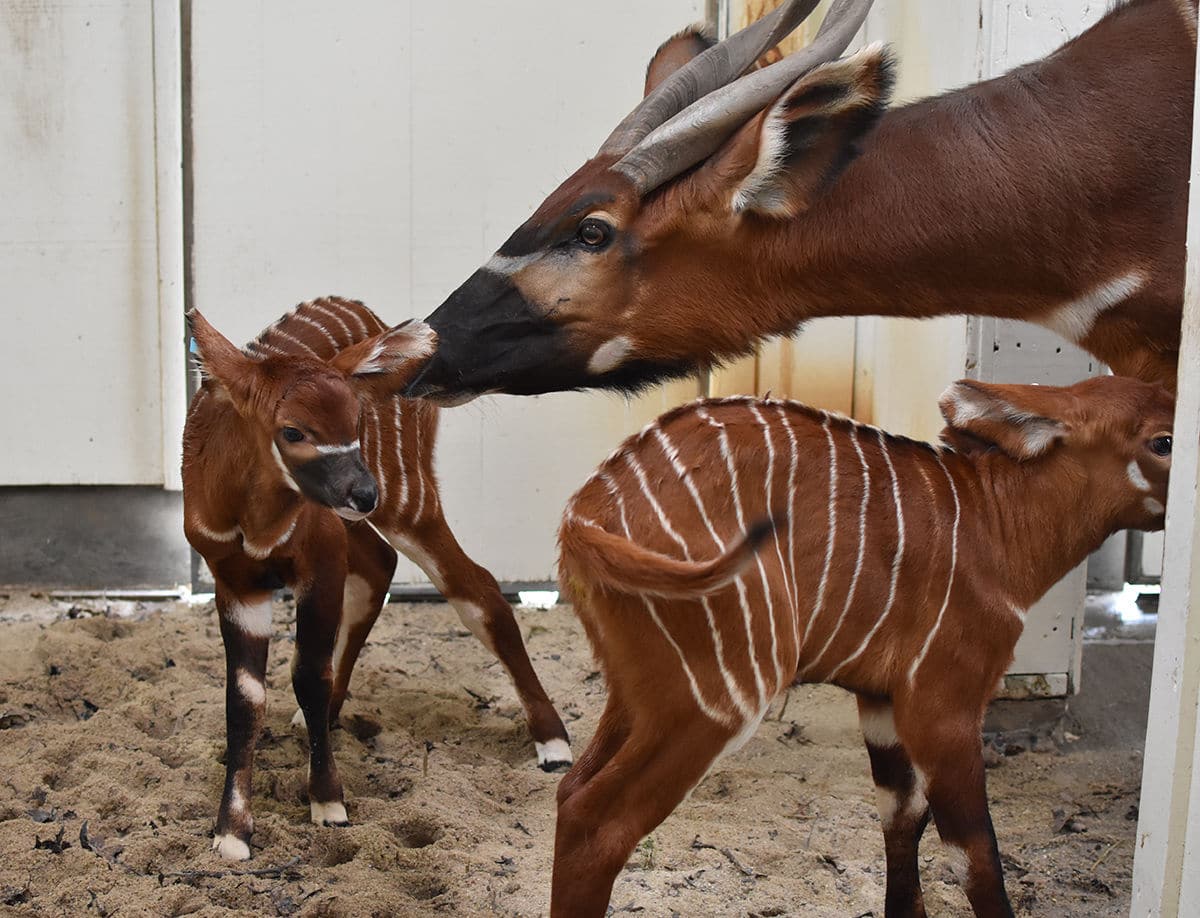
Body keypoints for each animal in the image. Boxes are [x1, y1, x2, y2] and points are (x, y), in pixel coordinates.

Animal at [182, 298, 571, 859]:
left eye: (356, 419)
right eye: (293, 430)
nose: (363, 492)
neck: (254, 521)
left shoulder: (319, 563)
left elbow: (308, 675)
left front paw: (328, 805)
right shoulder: (236, 582)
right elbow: (245, 700)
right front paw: (231, 833)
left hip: (409, 502)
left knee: (478, 589)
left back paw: (554, 744)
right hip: (363, 523)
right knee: (383, 565)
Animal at [556, 374, 1176, 916]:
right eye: (1165, 440)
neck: (993, 523)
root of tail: (582, 520)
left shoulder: (880, 705)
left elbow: (901, 823)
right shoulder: (944, 709)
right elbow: (975, 857)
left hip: (640, 698)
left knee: (569, 789)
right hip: (719, 700)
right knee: (596, 821)